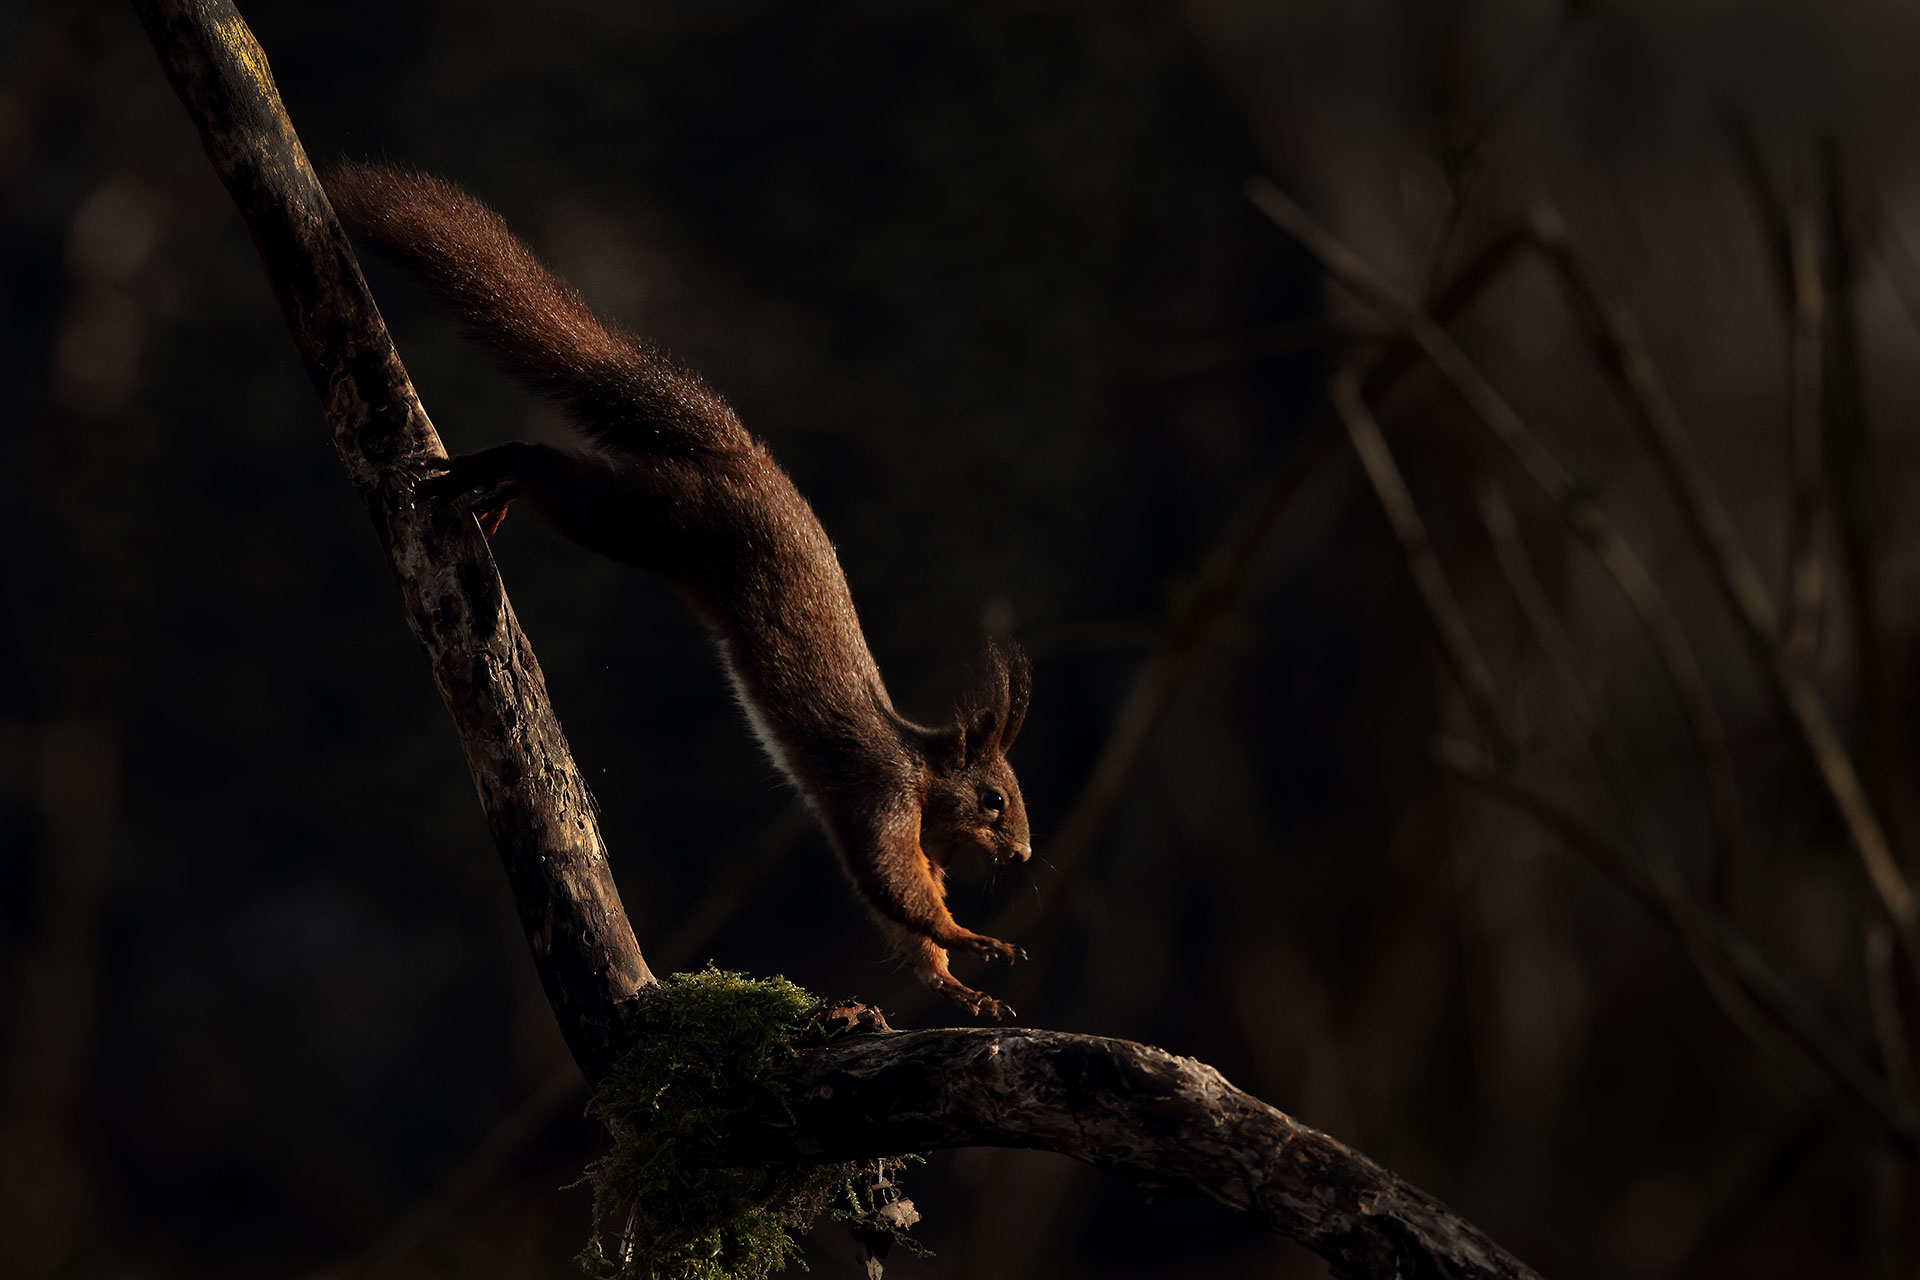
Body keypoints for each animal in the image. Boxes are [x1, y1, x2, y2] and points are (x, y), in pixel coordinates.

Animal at [325, 163, 1032, 1019]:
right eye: (993, 799)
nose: (1024, 855)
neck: (923, 773)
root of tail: (743, 455)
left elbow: (908, 921)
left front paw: (962, 989)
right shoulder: (880, 798)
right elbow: (894, 883)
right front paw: (974, 940)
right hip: (659, 519)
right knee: (557, 473)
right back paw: (495, 470)